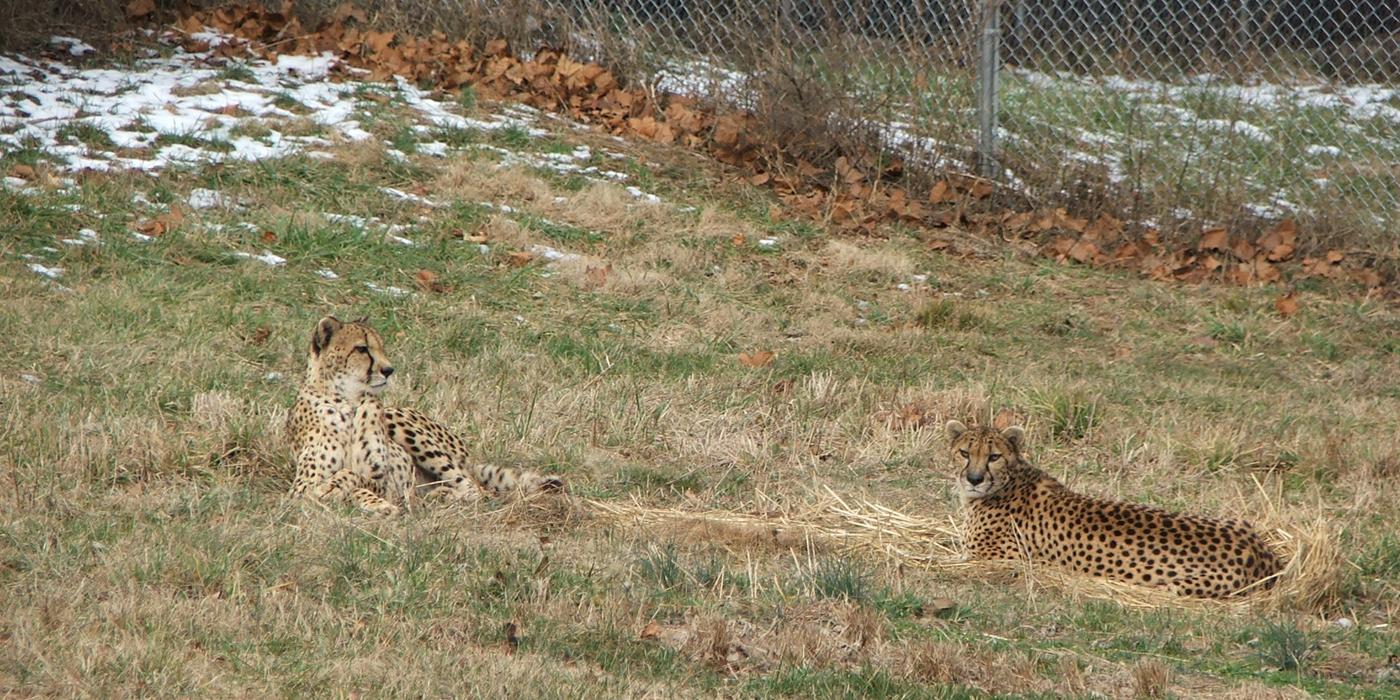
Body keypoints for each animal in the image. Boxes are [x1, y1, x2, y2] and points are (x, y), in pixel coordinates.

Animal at [287, 317, 560, 515]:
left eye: (381, 347)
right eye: (362, 348)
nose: (389, 370)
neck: (348, 401)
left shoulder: (383, 481)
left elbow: (356, 477)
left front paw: (358, 496)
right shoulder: (300, 490)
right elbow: (336, 485)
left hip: (401, 423)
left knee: (477, 491)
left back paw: (441, 497)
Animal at [952, 417, 1282, 599]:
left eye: (994, 456)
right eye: (965, 453)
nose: (974, 479)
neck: (1008, 481)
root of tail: (1263, 554)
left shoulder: (996, 558)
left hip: (1175, 586)